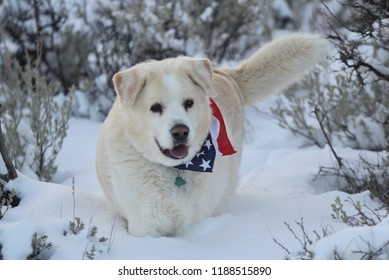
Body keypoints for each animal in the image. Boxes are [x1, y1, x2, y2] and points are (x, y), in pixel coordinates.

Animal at [95, 34, 326, 237]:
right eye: (155, 107)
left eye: (188, 102)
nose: (181, 131)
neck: (175, 171)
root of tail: (224, 73)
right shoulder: (146, 227)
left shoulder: (196, 219)